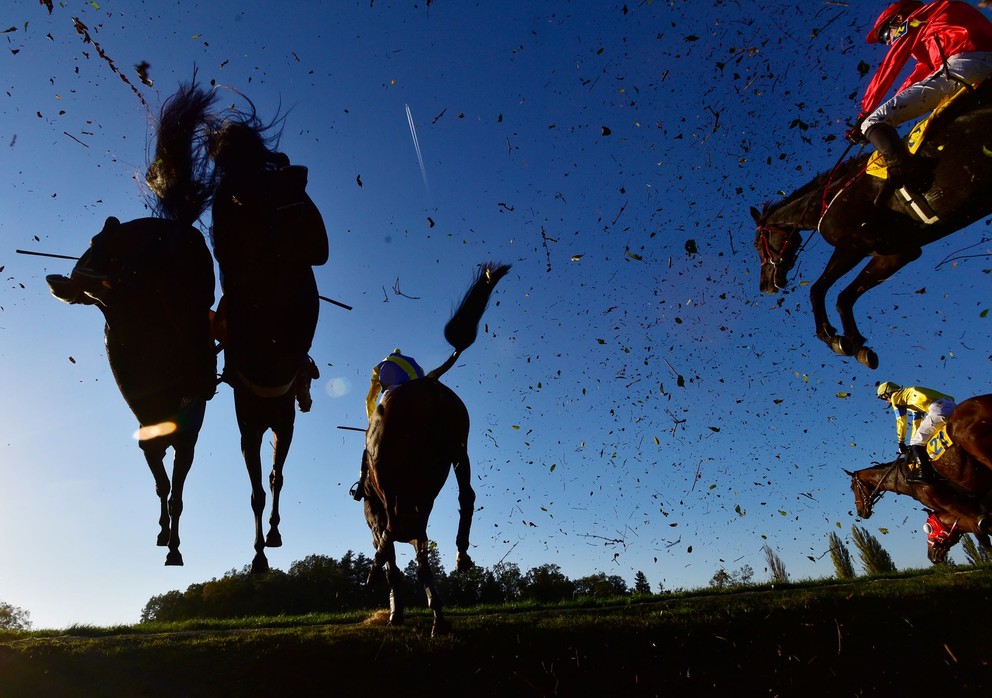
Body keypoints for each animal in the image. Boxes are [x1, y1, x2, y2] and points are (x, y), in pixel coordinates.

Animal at [46, 81, 217, 564]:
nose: (81, 278)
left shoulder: (185, 435)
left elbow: (176, 491)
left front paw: (173, 544)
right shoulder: (149, 438)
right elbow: (162, 485)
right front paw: (164, 535)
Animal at [205, 107, 330, 572]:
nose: (296, 173)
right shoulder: (248, 431)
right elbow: (255, 492)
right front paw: (258, 556)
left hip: (283, 423)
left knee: (278, 476)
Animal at [360, 260, 508, 636]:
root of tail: (427, 383)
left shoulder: (381, 513)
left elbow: (396, 561)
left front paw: (397, 607)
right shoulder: (417, 511)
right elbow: (421, 559)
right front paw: (435, 613)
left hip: (391, 472)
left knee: (396, 526)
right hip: (456, 449)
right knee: (466, 495)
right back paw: (462, 555)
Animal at [752, 79, 992, 368]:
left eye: (757, 245)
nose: (765, 286)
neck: (833, 196)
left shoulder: (857, 245)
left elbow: (818, 289)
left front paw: (833, 337)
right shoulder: (896, 253)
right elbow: (845, 297)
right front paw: (855, 344)